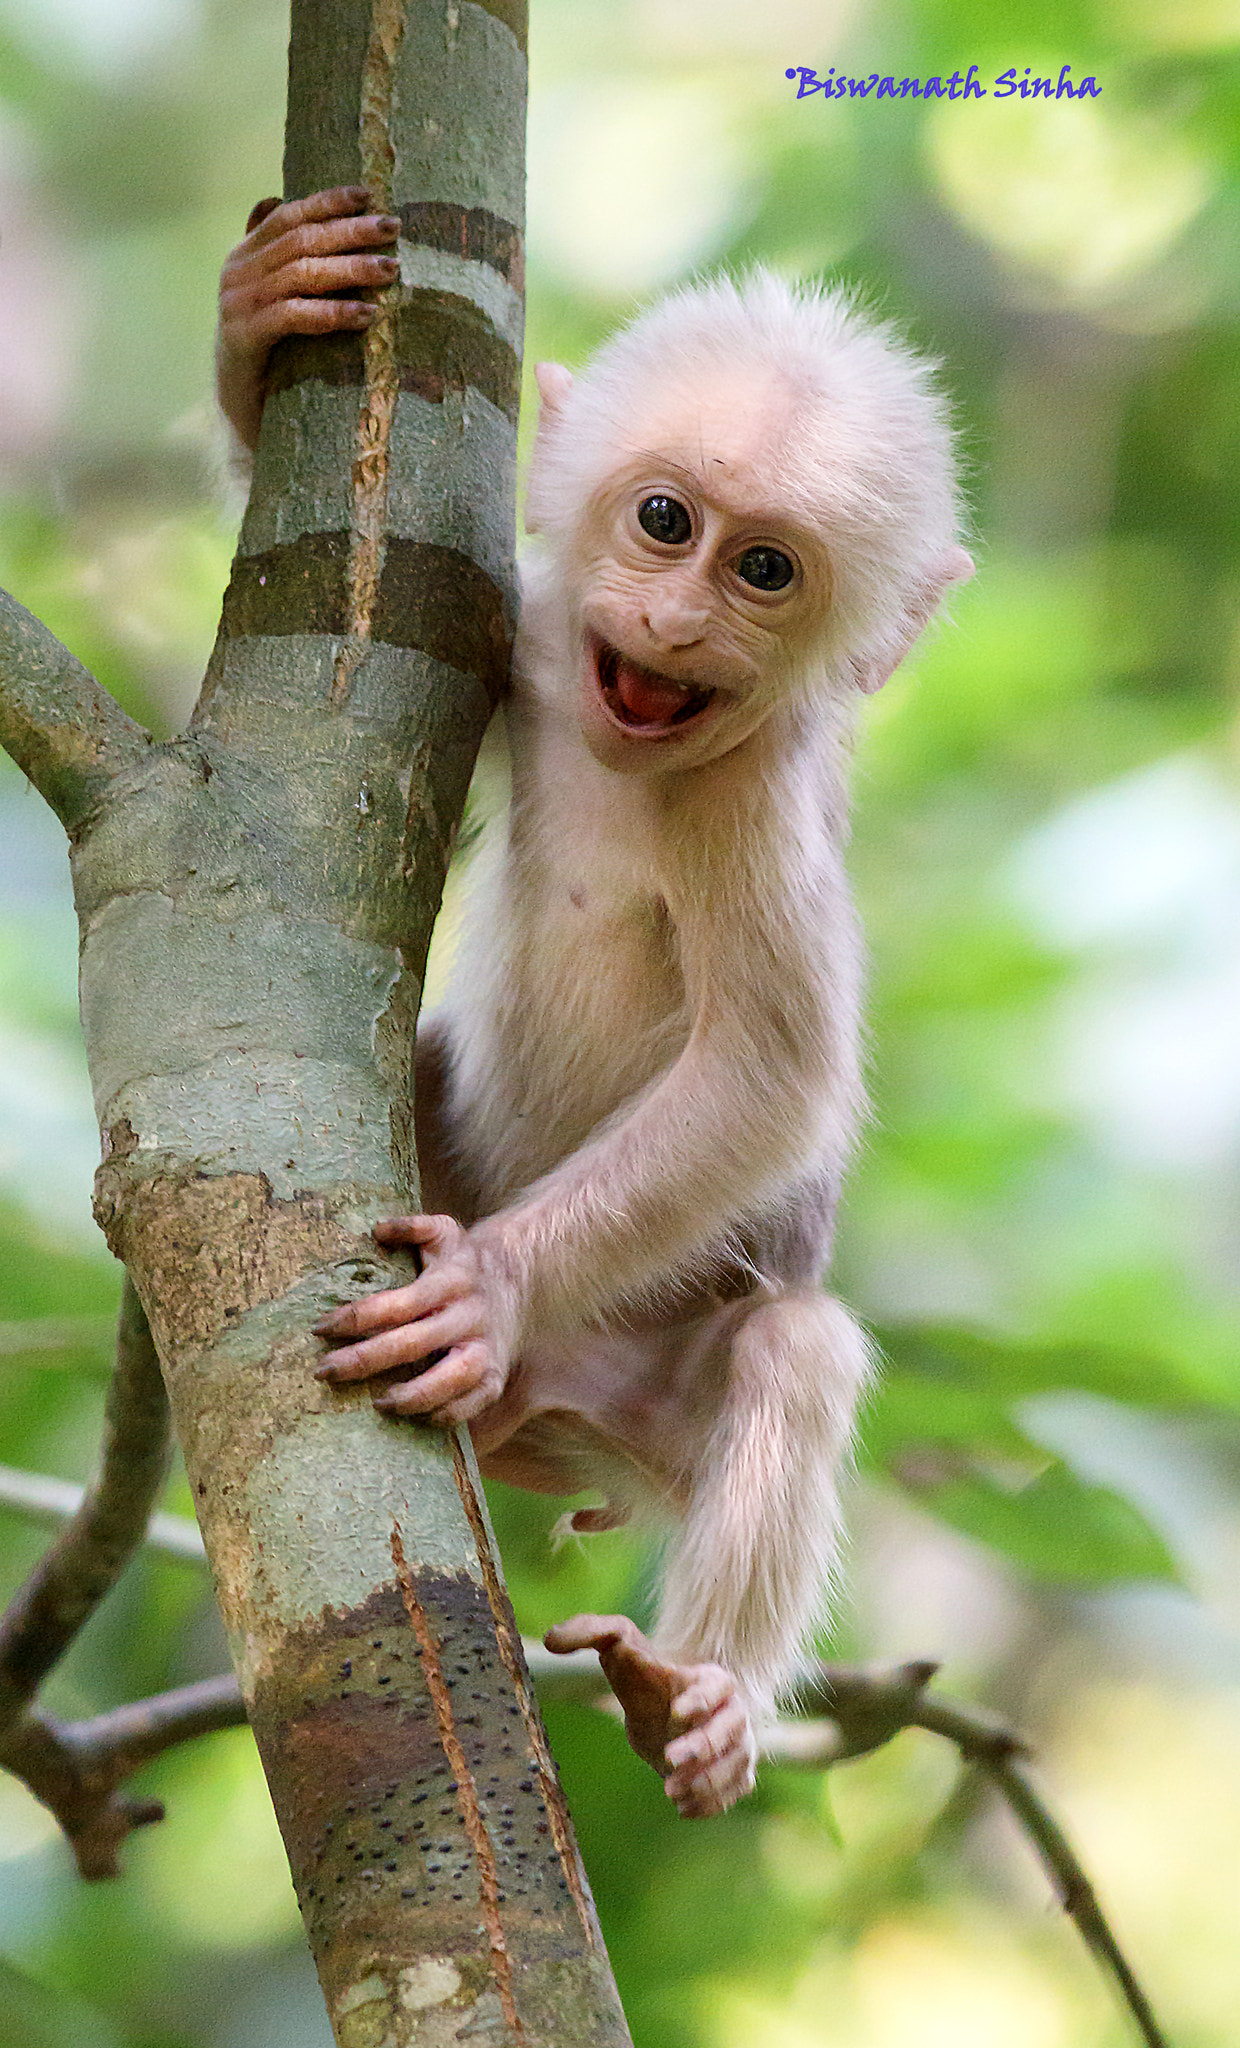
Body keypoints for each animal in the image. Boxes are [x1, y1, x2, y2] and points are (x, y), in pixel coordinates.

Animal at [215, 192, 967, 1818]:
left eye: (765, 572)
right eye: (665, 522)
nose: (677, 623)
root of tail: (550, 1434)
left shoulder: (756, 803)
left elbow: (774, 1074)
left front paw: (486, 1290)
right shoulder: (534, 639)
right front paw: (260, 315)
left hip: (642, 1392)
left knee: (796, 1351)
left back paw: (698, 1700)